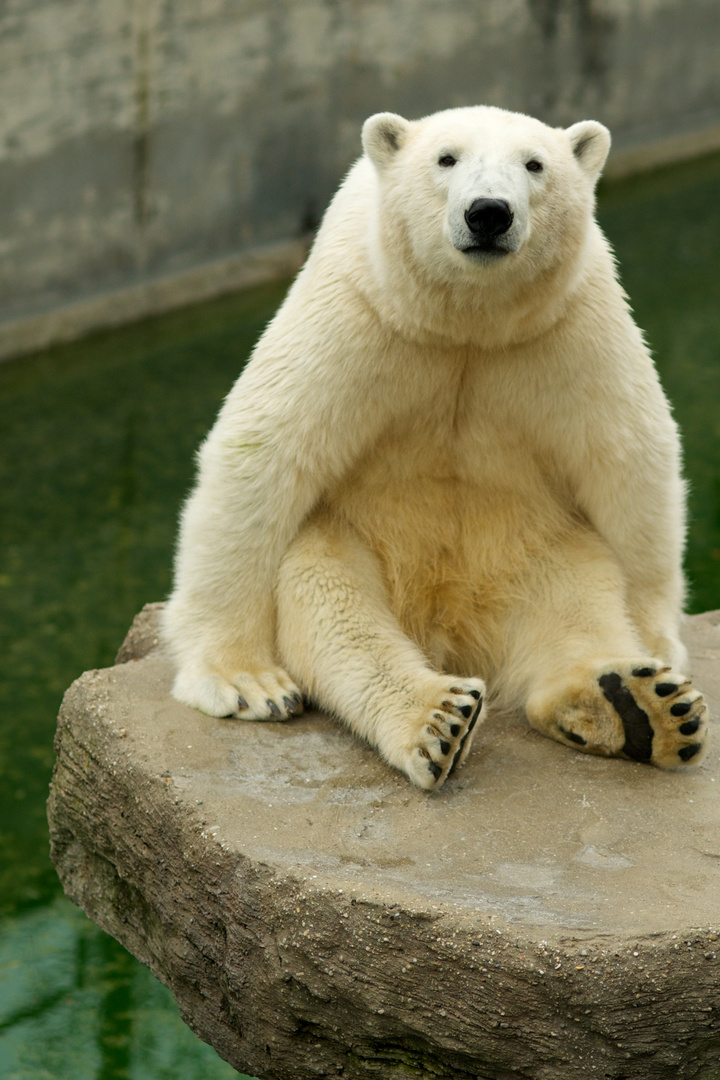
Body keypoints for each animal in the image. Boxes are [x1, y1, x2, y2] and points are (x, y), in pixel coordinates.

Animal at [160, 105, 708, 790]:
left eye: (535, 164)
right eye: (446, 158)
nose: (489, 213)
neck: (465, 320)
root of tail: (454, 628)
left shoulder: (568, 326)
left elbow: (629, 461)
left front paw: (659, 646)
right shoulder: (361, 314)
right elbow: (266, 451)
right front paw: (243, 681)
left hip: (538, 549)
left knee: (577, 600)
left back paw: (636, 704)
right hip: (357, 541)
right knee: (333, 604)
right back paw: (437, 714)